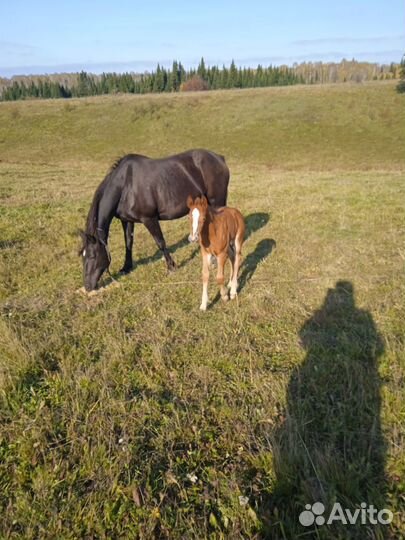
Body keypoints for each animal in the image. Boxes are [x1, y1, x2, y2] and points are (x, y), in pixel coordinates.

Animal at [78, 148, 229, 292]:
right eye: (82, 256)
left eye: (92, 255)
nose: (88, 286)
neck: (125, 185)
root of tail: (219, 158)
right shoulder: (127, 220)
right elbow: (128, 242)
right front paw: (126, 267)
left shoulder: (149, 219)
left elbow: (160, 242)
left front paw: (171, 267)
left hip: (216, 201)